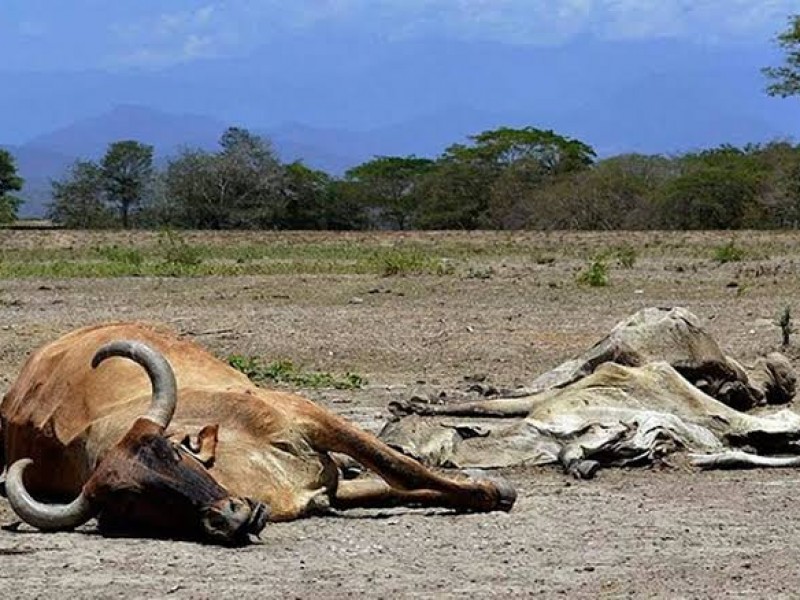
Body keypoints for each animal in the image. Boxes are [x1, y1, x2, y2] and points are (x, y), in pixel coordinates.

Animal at [0, 324, 516, 544]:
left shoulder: (309, 416)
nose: (230, 516)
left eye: (173, 453)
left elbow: (400, 469)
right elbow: (396, 486)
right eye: (127, 502)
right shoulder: (326, 494)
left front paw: (493, 491)